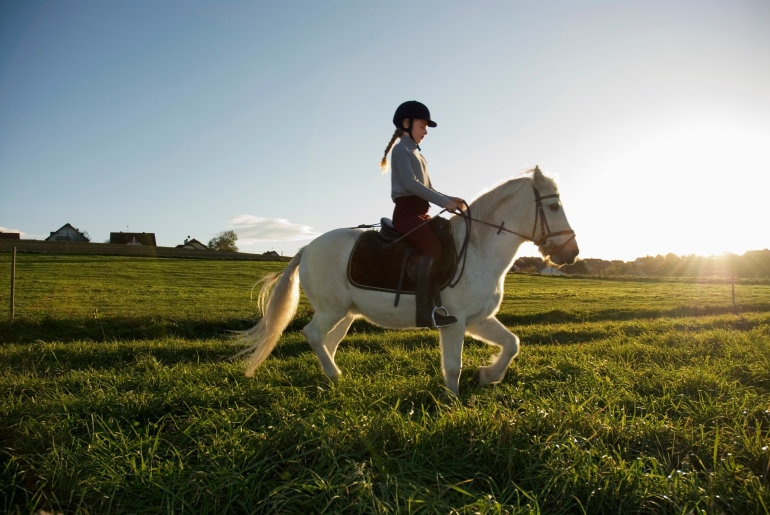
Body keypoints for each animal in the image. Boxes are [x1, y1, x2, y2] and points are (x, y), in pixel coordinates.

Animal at [234, 168, 576, 396]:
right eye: (554, 206)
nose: (572, 253)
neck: (478, 249)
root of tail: (307, 248)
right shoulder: (454, 322)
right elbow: (453, 367)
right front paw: (453, 404)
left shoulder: (478, 320)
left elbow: (512, 343)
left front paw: (487, 375)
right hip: (332, 310)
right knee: (313, 335)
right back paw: (336, 376)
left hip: (345, 314)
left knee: (327, 342)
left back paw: (332, 379)